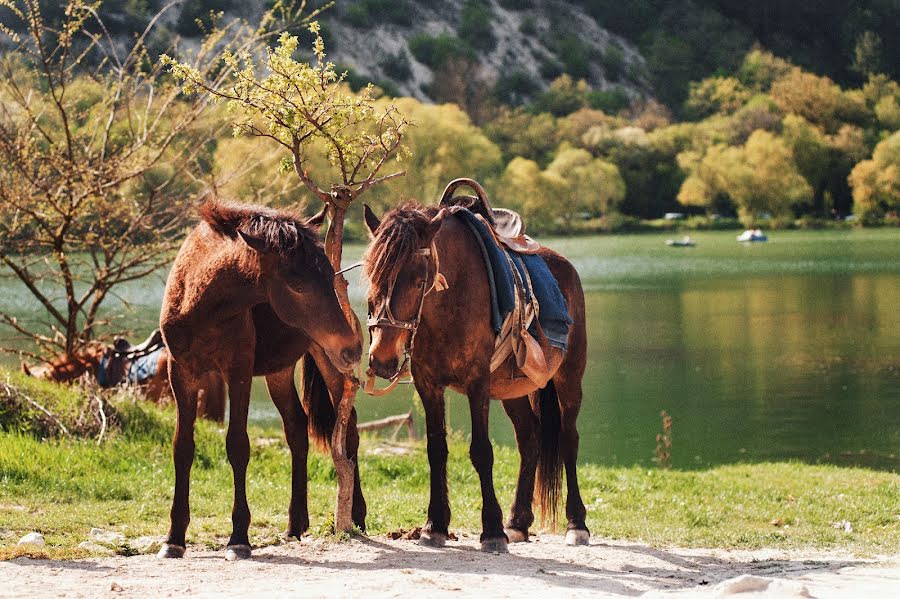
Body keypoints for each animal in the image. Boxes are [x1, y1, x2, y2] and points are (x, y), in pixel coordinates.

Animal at [159, 202, 366, 564]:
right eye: (298, 285)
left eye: (329, 277)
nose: (353, 347)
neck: (199, 304)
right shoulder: (180, 373)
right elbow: (182, 448)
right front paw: (174, 538)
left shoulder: (238, 371)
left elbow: (237, 446)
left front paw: (239, 538)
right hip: (278, 372)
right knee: (297, 429)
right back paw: (296, 524)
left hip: (328, 362)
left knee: (348, 429)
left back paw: (356, 515)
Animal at [362, 179, 596, 552]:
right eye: (371, 274)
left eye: (418, 280)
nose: (382, 358)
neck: (451, 299)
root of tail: (567, 269)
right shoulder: (429, 384)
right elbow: (436, 449)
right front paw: (435, 526)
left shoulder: (478, 383)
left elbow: (481, 451)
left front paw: (492, 531)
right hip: (514, 391)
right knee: (529, 440)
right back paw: (518, 522)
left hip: (568, 378)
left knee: (568, 439)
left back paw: (576, 524)